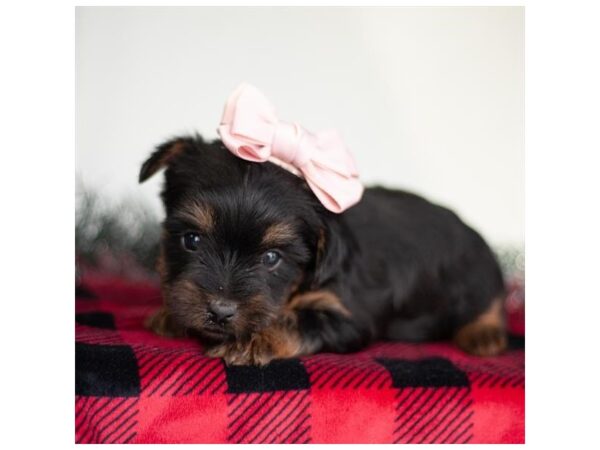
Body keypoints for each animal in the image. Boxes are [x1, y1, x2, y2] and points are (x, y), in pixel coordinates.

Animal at [139, 134, 506, 366]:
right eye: (191, 241)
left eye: (271, 259)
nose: (221, 311)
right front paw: (171, 315)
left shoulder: (349, 315)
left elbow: (298, 321)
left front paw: (251, 340)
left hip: (476, 275)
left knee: (490, 299)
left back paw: (485, 333)